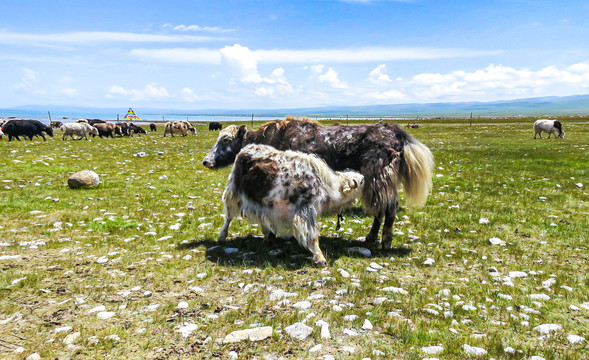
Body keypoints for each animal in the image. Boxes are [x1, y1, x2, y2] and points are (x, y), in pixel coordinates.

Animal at [216, 143, 362, 264]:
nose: (364, 176)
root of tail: (244, 150)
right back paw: (222, 237)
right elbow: (313, 236)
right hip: (234, 194)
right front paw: (320, 258)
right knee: (228, 217)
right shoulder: (306, 210)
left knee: (261, 216)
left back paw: (268, 237)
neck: (327, 186)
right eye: (360, 182)